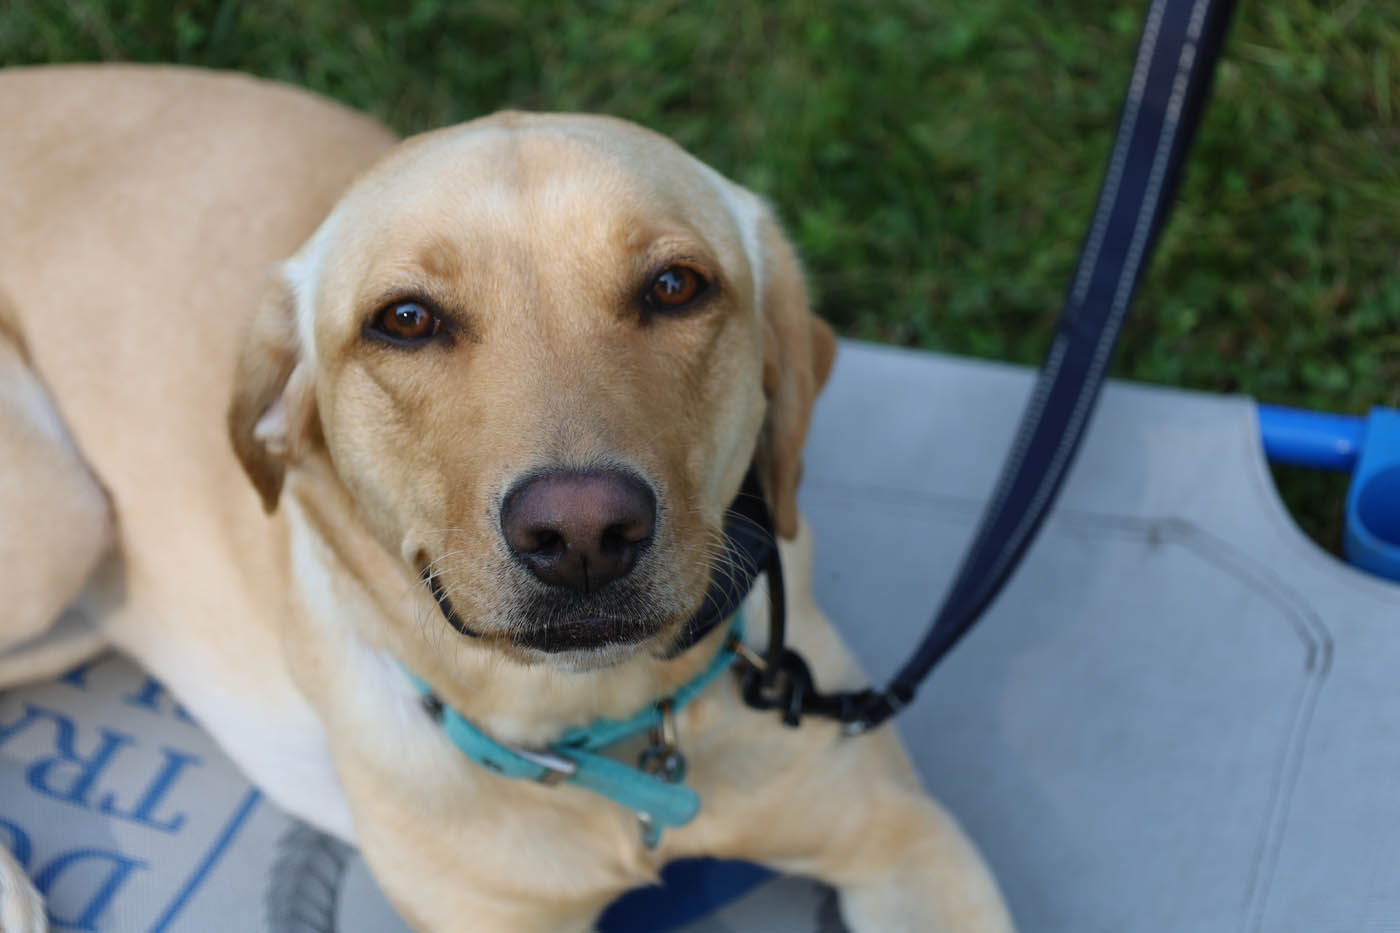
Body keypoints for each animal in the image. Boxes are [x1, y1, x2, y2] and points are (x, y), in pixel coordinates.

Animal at [0, 67, 1013, 930]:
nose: (584, 531)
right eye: (406, 319)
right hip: (60, 528)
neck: (604, 736)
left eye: (676, 285)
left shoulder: (908, 839)